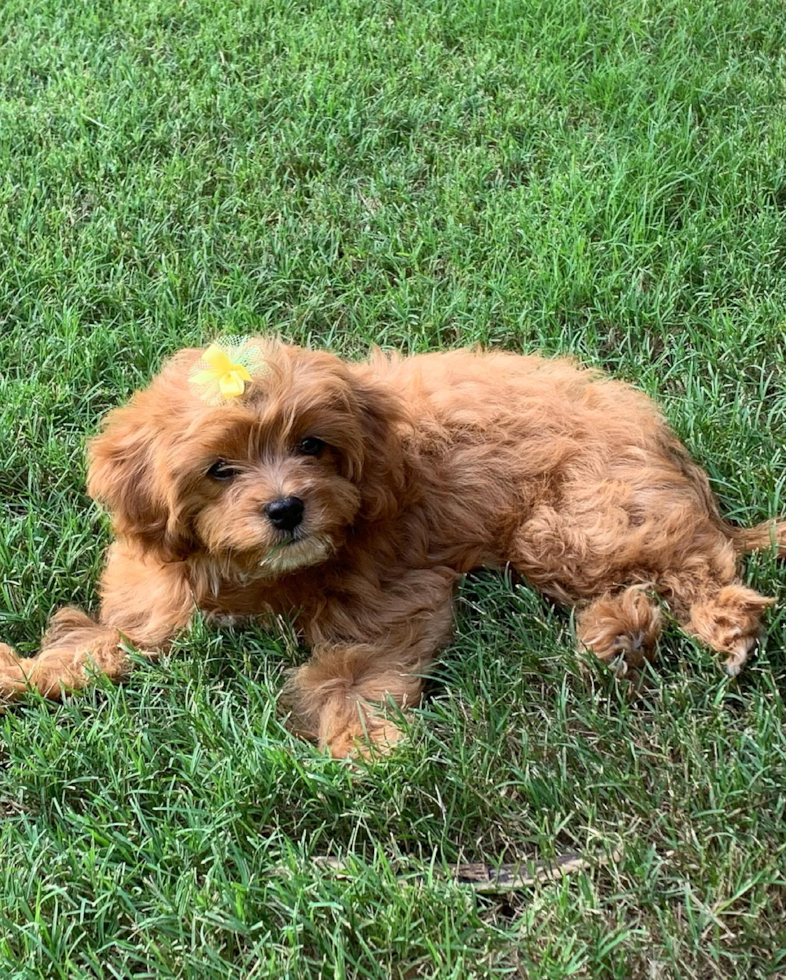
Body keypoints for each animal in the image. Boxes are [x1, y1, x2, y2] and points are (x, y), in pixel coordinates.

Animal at [3, 338, 780, 756]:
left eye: (312, 445)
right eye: (219, 469)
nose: (286, 509)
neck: (254, 575)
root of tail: (660, 437)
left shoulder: (397, 592)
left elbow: (356, 666)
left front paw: (362, 745)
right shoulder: (156, 605)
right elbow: (97, 644)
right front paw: (23, 674)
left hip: (581, 520)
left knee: (695, 564)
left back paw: (724, 625)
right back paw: (618, 635)